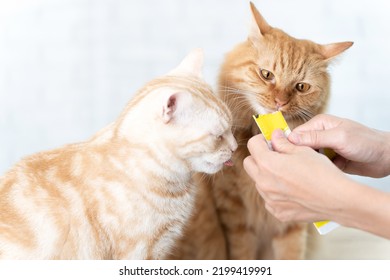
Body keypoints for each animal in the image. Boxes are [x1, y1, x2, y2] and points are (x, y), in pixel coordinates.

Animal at [174, 2, 354, 260]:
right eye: (267, 75)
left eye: (301, 87)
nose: (279, 102)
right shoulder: (235, 215)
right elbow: (242, 253)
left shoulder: (292, 224)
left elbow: (291, 254)